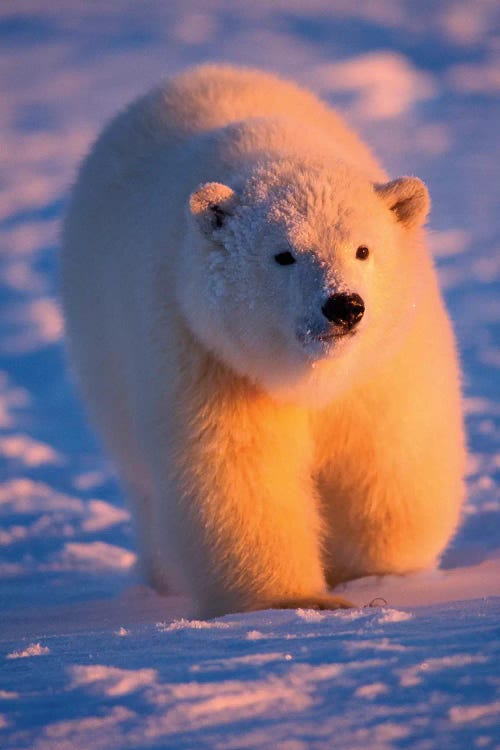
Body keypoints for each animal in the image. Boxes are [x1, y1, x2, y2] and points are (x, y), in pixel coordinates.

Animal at [61, 66, 464, 616]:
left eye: (363, 249)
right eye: (284, 255)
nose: (344, 306)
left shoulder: (382, 363)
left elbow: (386, 451)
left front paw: (377, 578)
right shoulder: (205, 350)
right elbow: (237, 468)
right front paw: (295, 599)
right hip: (101, 349)